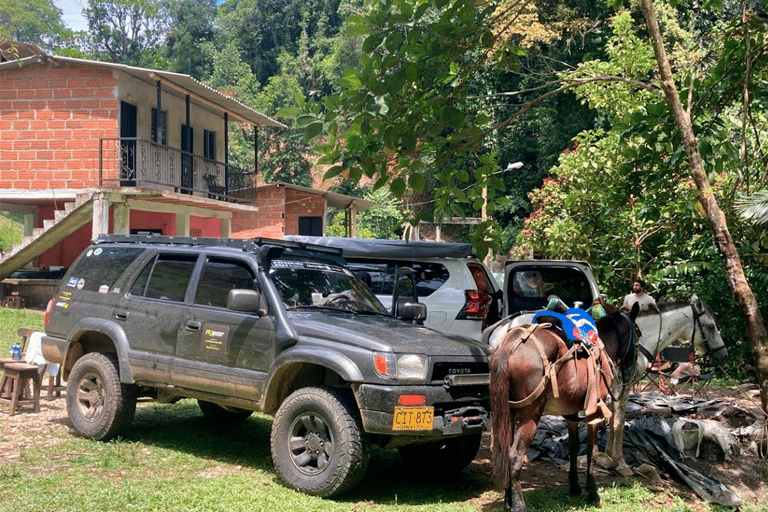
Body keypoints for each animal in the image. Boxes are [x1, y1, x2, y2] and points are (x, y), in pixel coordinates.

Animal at [488, 302, 640, 510]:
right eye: (638, 334)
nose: (634, 369)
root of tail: (508, 346)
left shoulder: (571, 413)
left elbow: (573, 448)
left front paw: (574, 487)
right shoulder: (594, 412)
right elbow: (592, 451)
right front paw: (593, 493)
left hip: (508, 412)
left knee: (504, 451)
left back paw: (508, 502)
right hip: (530, 414)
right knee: (514, 456)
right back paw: (518, 505)